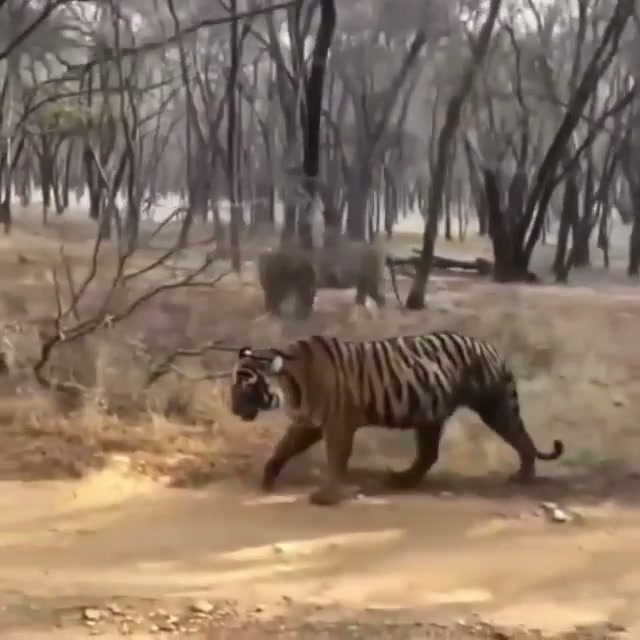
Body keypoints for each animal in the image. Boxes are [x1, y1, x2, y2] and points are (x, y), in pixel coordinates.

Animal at [230, 331, 564, 507]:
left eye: (246, 386)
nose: (232, 409)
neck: (292, 385)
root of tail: (491, 347)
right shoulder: (309, 422)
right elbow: (284, 447)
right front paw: (268, 477)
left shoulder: (338, 425)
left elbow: (336, 460)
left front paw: (327, 496)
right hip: (430, 415)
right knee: (428, 454)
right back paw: (403, 479)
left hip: (494, 406)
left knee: (522, 438)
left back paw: (524, 475)